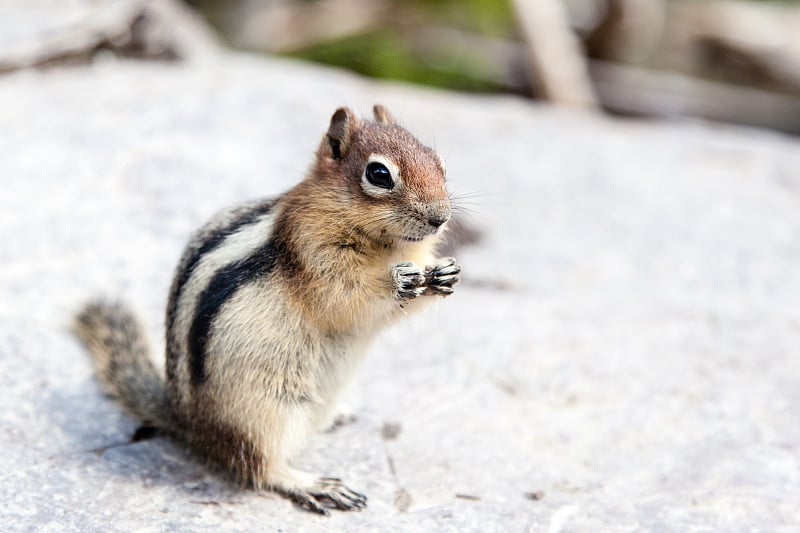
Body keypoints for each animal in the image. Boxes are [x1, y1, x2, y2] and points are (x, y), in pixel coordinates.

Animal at [76, 105, 462, 516]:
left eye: (440, 163)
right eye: (379, 174)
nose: (440, 217)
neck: (388, 247)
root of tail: (189, 424)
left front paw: (444, 272)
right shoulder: (312, 251)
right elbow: (345, 296)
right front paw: (397, 279)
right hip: (266, 414)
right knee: (259, 466)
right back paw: (312, 484)